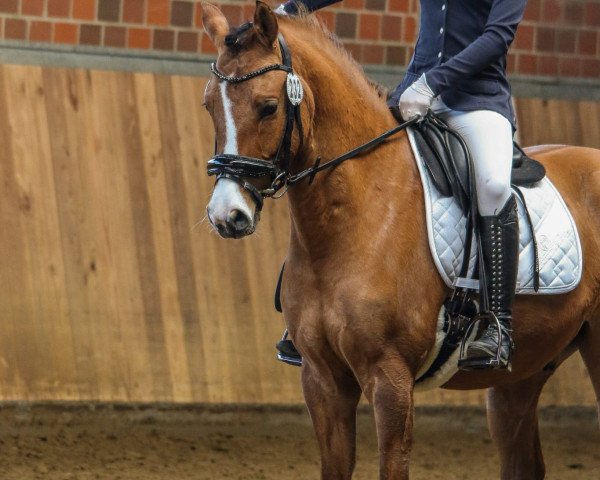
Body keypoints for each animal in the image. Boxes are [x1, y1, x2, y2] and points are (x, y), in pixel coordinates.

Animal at [203, 2, 600, 476]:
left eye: (267, 107)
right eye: (209, 104)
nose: (227, 215)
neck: (351, 222)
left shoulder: (390, 378)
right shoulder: (321, 380)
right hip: (522, 373)